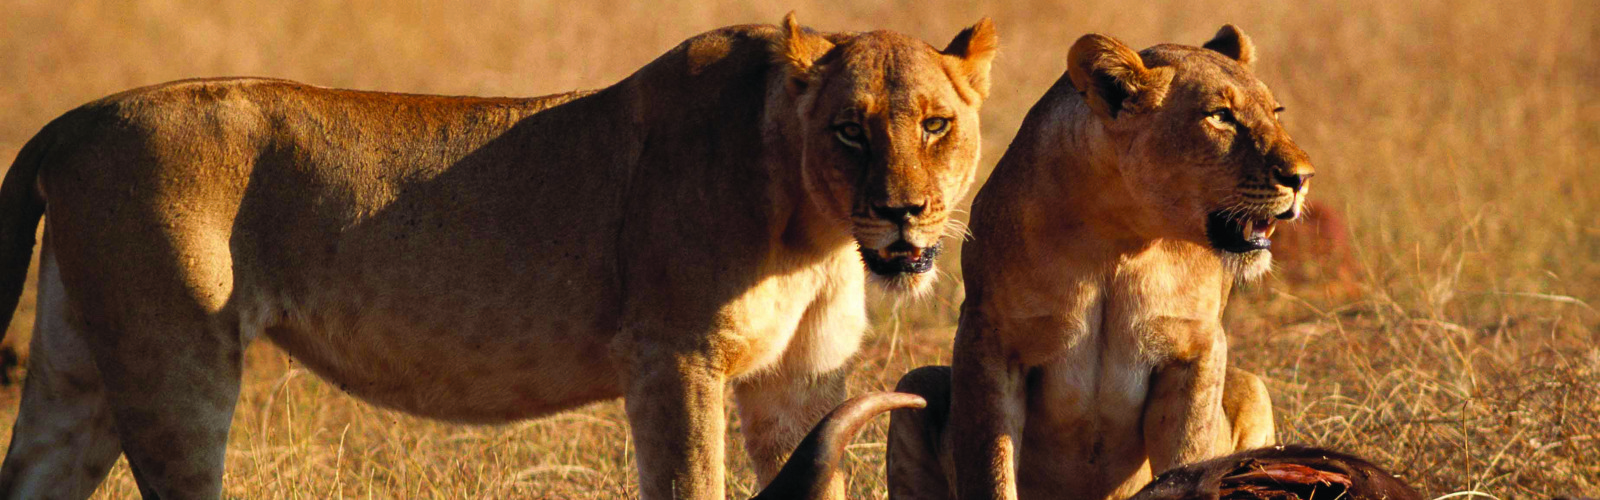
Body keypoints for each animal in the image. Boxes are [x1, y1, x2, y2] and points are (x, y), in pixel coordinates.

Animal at [0, 14, 997, 499]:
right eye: (849, 130)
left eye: (934, 125)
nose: (904, 214)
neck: (813, 230)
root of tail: (75, 118)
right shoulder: (671, 356)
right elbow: (689, 484)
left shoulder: (800, 379)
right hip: (177, 364)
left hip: (79, 369)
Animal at [883, 25, 1314, 500]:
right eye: (1220, 116)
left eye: (1276, 112)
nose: (1302, 177)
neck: (1122, 241)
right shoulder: (990, 341)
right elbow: (991, 470)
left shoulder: (1196, 349)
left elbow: (1188, 456)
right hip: (913, 385)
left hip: (1253, 387)